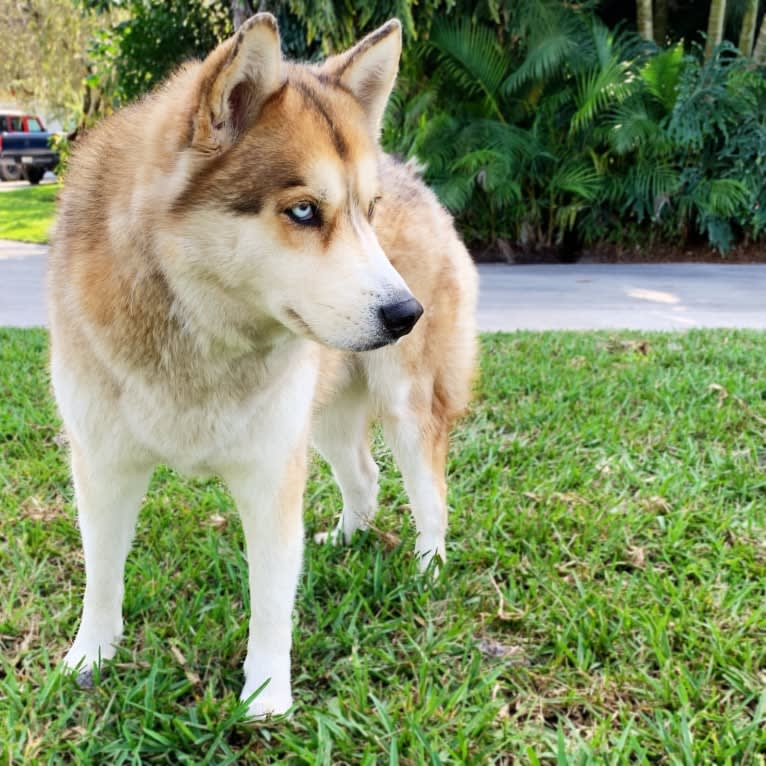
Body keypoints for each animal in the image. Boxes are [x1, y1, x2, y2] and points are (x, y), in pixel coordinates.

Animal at [48, 13, 476, 720]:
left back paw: (427, 568)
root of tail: (414, 176)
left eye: (369, 211)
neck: (199, 336)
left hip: (404, 407)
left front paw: (267, 697)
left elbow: (272, 598)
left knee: (430, 495)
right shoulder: (104, 464)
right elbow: (101, 573)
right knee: (364, 476)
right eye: (303, 210)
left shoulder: (270, 471)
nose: (406, 312)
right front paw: (91, 656)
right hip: (324, 415)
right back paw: (345, 539)